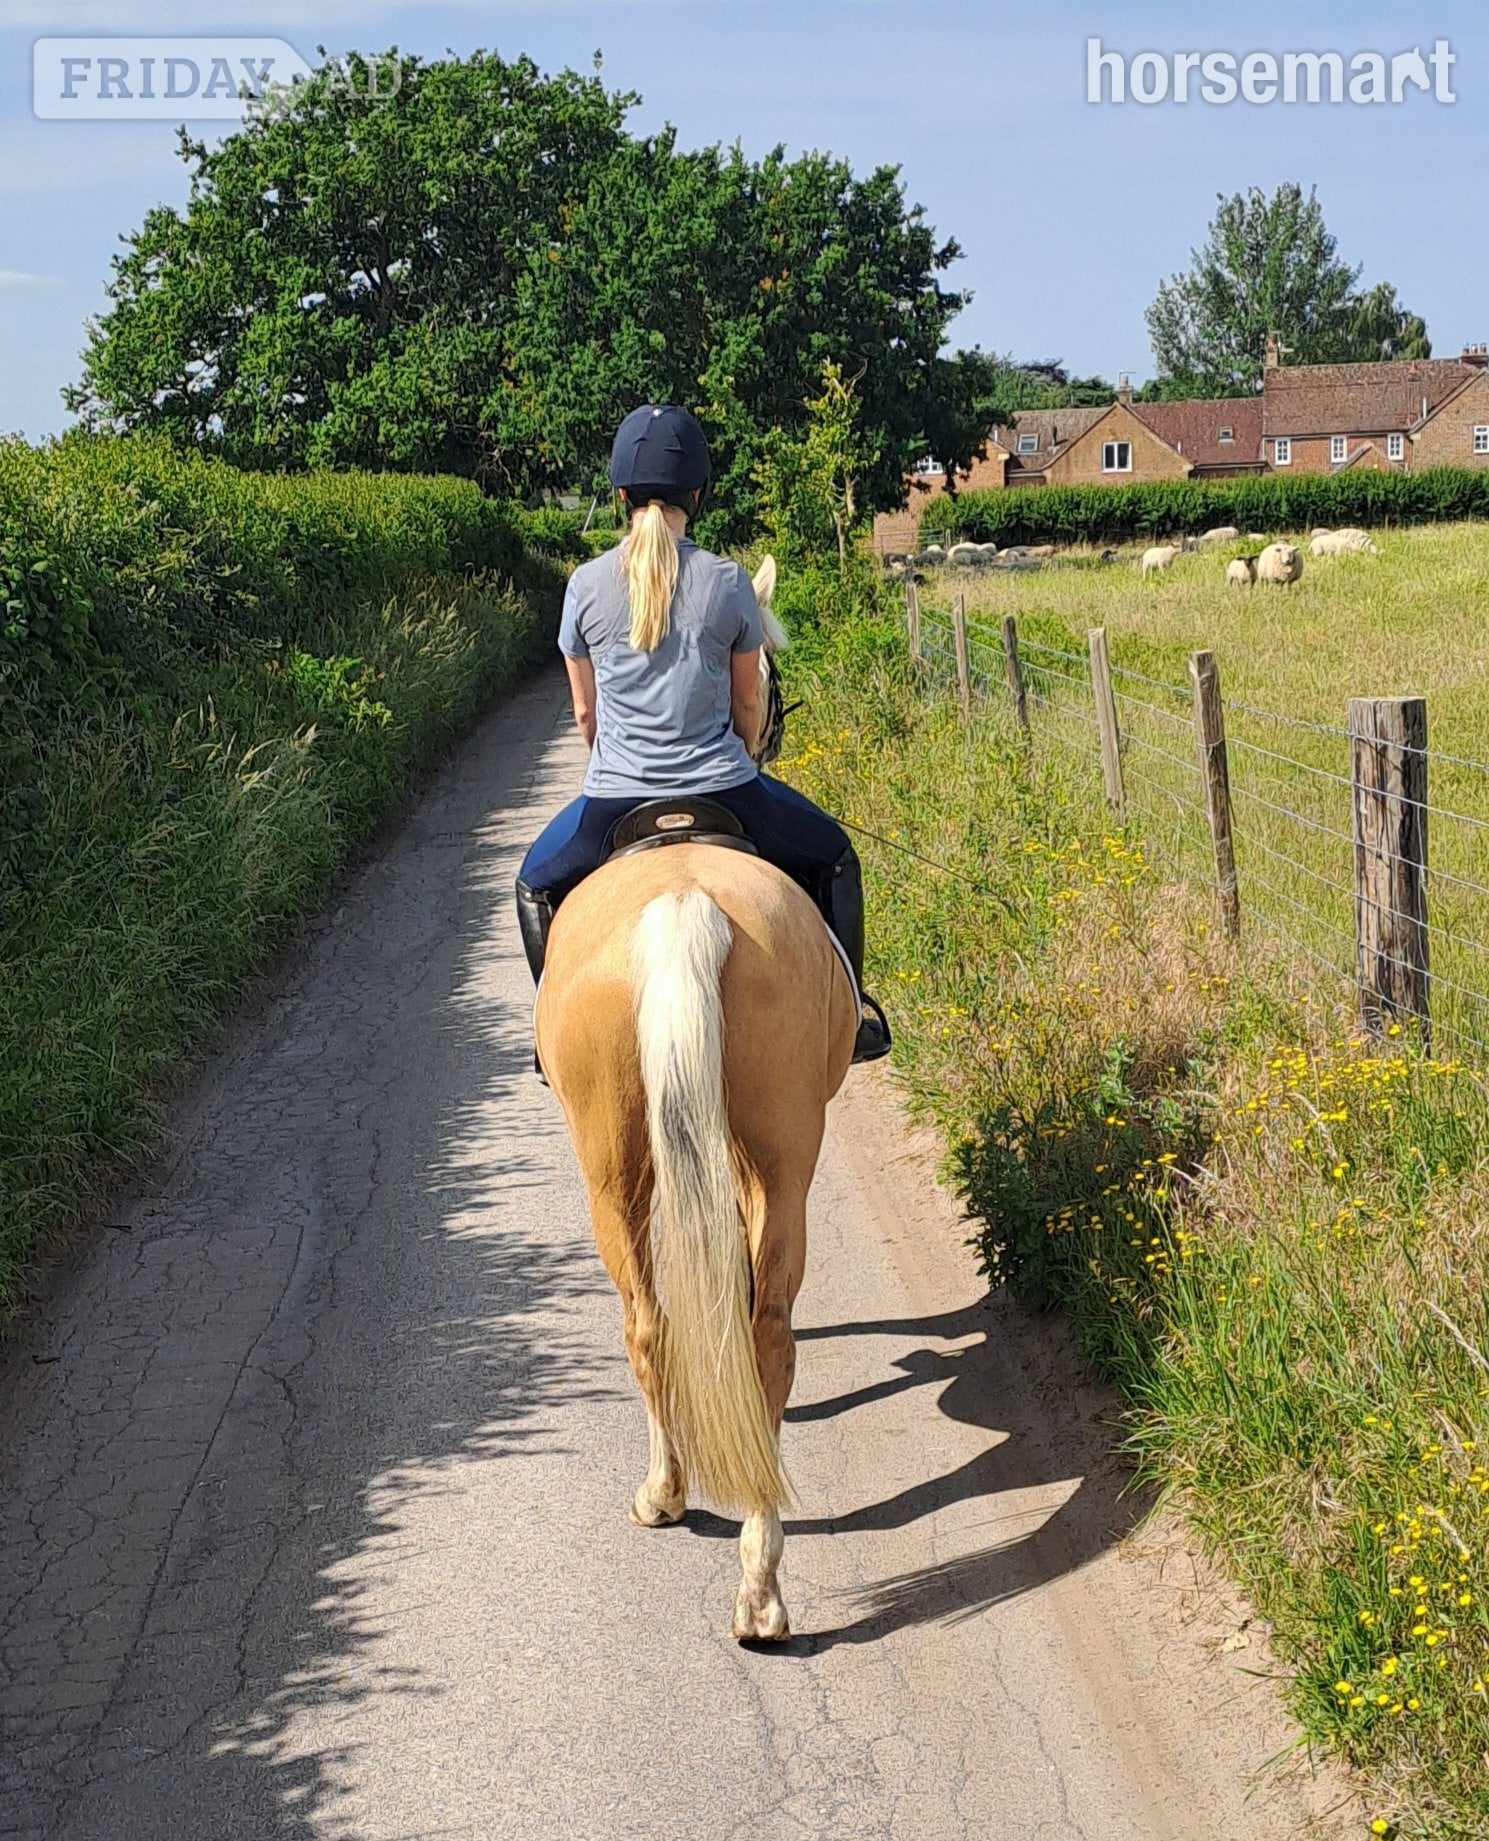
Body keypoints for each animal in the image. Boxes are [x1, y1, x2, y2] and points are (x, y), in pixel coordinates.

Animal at [535, 561, 858, 1640]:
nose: (772, 723)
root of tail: (681, 902)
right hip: (776, 1153)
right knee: (754, 1326)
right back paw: (754, 1576)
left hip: (613, 1167)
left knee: (654, 1323)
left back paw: (677, 1505)